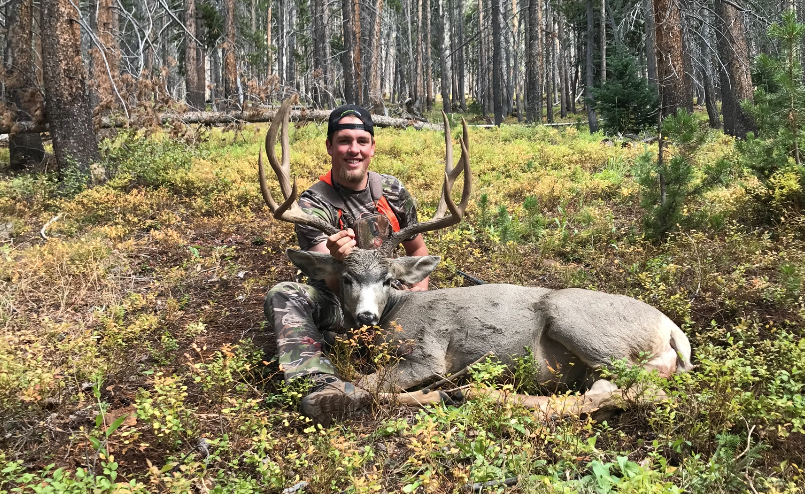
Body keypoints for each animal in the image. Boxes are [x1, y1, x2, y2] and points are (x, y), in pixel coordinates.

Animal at [258, 100, 693, 416]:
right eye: (347, 278)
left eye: (387, 279)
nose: (366, 315)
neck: (396, 313)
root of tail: (673, 329)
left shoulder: (428, 352)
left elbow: (367, 383)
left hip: (579, 322)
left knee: (635, 390)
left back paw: (475, 393)